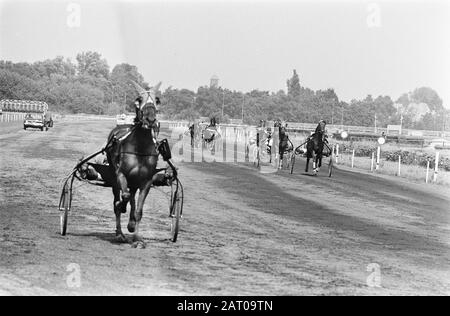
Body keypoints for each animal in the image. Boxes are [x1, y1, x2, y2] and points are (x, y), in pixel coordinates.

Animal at [105, 81, 162, 247]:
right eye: (139, 100)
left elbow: (138, 211)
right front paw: (121, 207)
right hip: (114, 177)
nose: (150, 119)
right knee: (120, 197)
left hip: (135, 180)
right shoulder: (121, 174)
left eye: (157, 100)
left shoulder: (146, 181)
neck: (140, 147)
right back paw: (120, 232)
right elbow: (123, 196)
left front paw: (137, 237)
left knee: (132, 197)